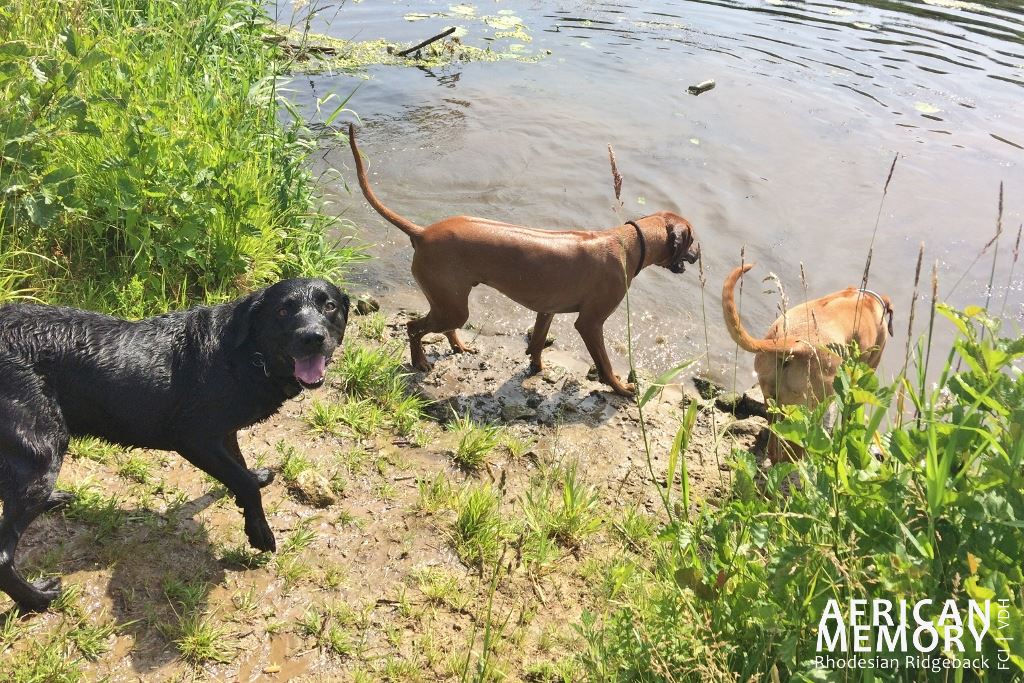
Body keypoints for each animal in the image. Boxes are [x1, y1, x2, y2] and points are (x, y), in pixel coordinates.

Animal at [0, 279, 349, 611]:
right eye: (283, 310)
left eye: (329, 306)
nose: (313, 337)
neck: (244, 355)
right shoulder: (193, 439)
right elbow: (245, 484)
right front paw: (259, 531)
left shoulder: (224, 433)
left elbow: (241, 469)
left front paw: (254, 482)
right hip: (43, 450)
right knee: (4, 555)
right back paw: (39, 599)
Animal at [348, 123, 700, 396]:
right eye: (693, 239)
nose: (698, 256)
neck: (628, 243)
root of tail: (422, 232)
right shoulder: (590, 323)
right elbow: (605, 362)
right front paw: (621, 387)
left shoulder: (547, 309)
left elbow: (539, 341)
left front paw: (536, 366)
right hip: (451, 304)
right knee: (412, 327)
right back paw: (419, 360)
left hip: (449, 301)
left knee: (443, 327)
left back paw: (459, 346)